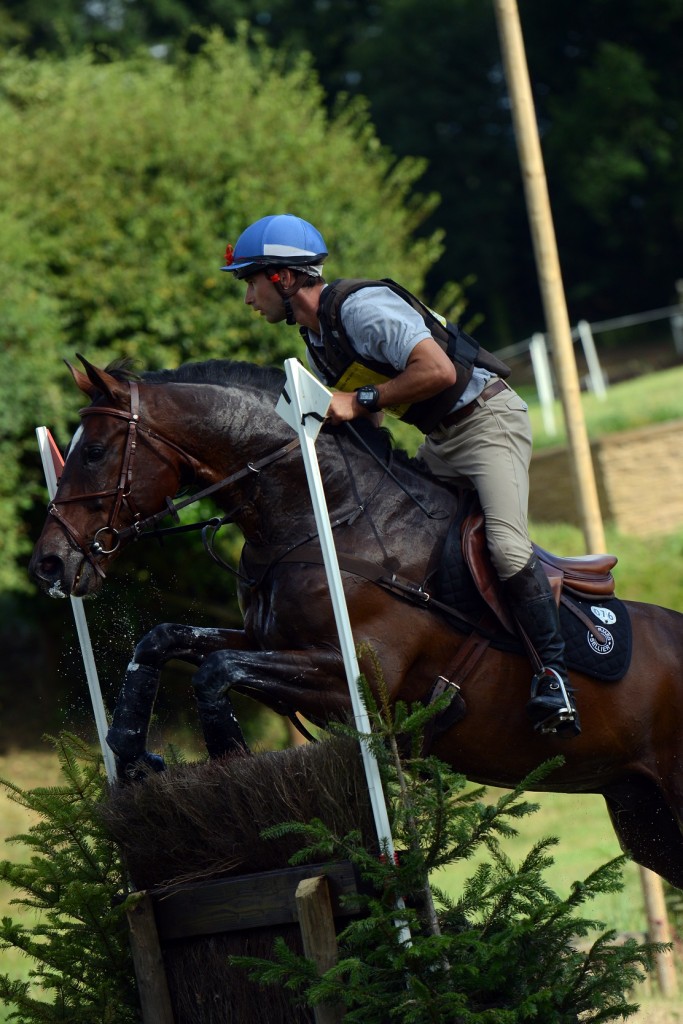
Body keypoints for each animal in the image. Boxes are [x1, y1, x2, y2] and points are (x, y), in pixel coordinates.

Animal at [29, 358, 683, 888]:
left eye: (94, 451)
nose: (48, 564)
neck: (329, 517)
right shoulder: (270, 640)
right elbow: (164, 641)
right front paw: (132, 753)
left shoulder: (354, 682)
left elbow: (216, 670)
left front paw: (228, 769)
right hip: (642, 814)